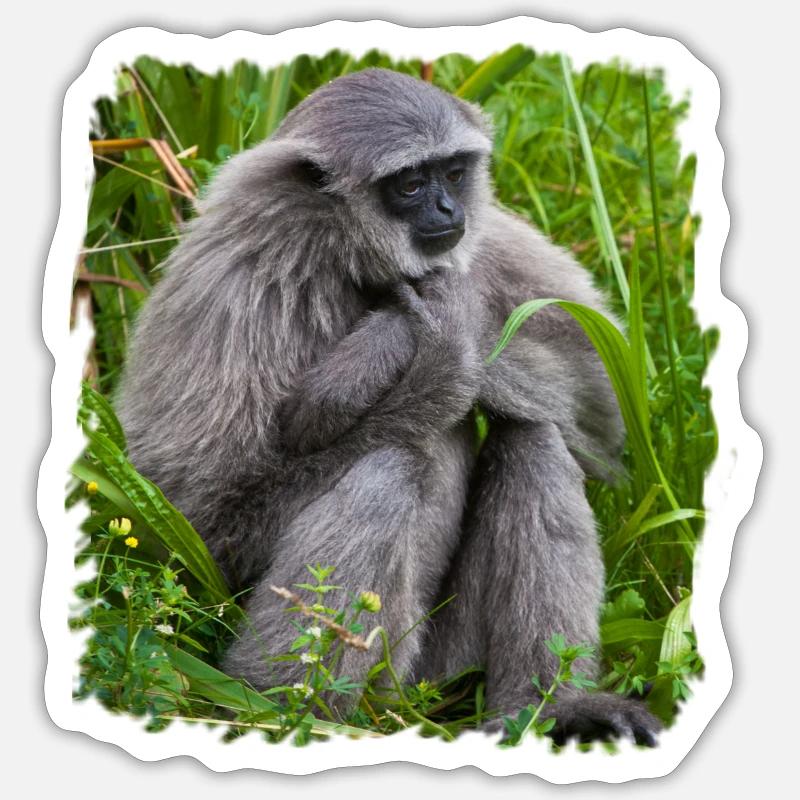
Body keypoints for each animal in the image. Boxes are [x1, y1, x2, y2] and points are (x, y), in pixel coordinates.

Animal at [116, 68, 661, 745]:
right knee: (389, 468)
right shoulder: (238, 274)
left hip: (444, 663)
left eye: (452, 172)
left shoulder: (478, 238)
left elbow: (601, 398)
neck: (345, 256)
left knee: (533, 437)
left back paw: (548, 707)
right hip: (387, 664)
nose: (449, 208)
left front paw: (399, 334)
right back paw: (287, 710)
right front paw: (425, 358)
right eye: (410, 184)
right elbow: (204, 515)